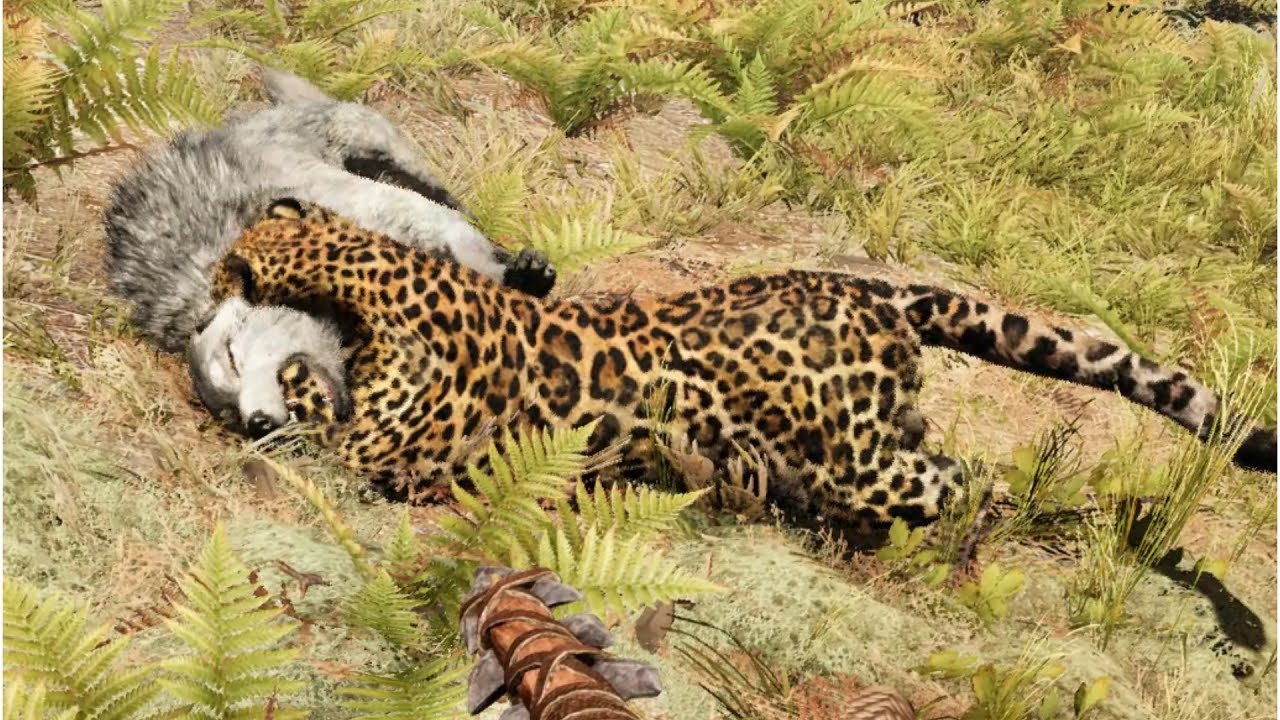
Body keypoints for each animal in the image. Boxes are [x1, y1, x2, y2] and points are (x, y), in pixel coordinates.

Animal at [212, 198, 1278, 531]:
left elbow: (331, 436)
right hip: (879, 436)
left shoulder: (389, 449)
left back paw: (975, 527)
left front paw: (281, 398)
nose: (213, 278)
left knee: (960, 479)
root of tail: (882, 294)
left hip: (865, 467)